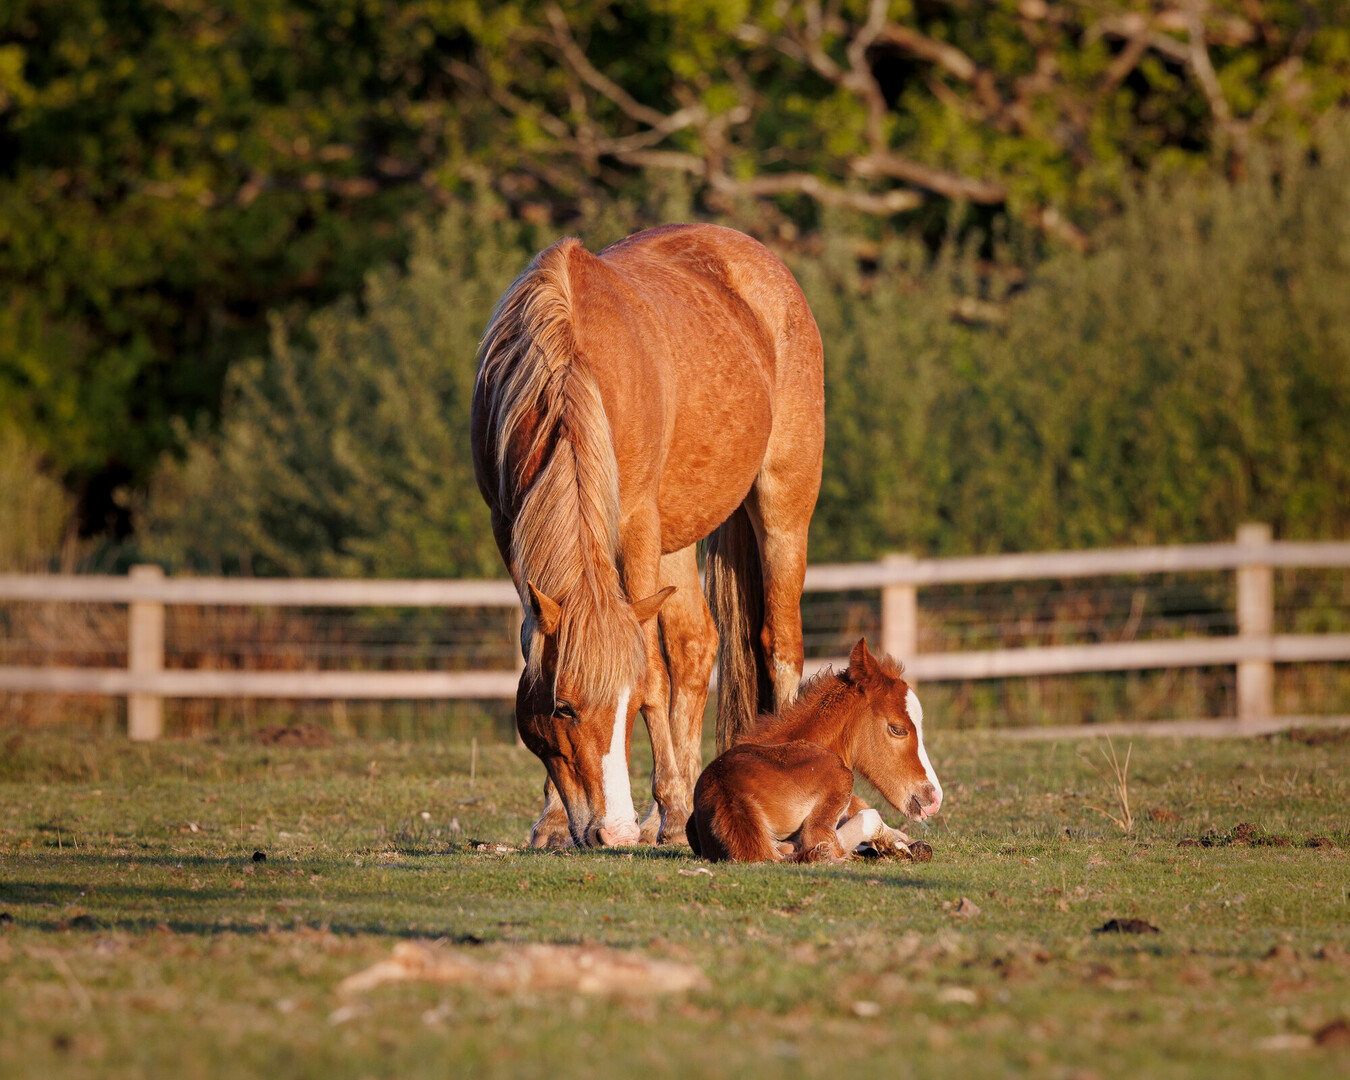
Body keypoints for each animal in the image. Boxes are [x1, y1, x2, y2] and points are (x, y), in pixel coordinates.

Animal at [471, 224, 824, 848]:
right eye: (563, 708)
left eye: (629, 705)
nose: (612, 831)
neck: (568, 365)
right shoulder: (508, 529)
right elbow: (538, 648)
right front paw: (555, 820)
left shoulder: (635, 522)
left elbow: (655, 671)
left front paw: (673, 807)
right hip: (675, 538)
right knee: (696, 644)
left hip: (781, 509)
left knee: (780, 646)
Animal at [684, 638, 943, 863]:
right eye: (898, 729)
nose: (935, 798)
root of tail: (730, 796)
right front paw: (896, 845)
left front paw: (898, 843)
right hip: (840, 776)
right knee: (825, 840)